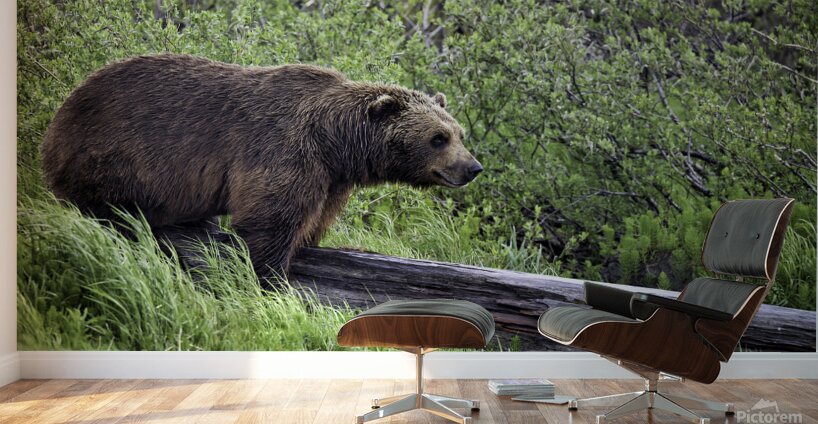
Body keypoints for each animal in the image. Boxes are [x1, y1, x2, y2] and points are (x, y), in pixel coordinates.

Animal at [41, 54, 482, 285]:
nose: (473, 167)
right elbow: (269, 219)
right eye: (438, 138)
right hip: (114, 153)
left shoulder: (331, 176)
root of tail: (58, 118)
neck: (335, 140)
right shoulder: (283, 149)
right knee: (108, 207)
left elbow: (314, 218)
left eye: (459, 132)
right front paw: (271, 277)